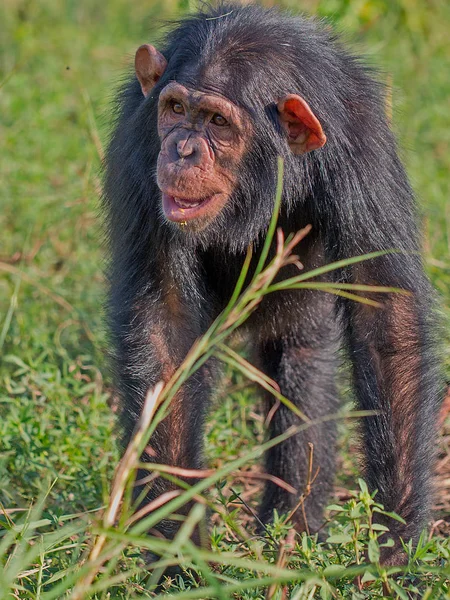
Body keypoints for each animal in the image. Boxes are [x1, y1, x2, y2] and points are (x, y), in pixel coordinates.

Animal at [103, 2, 442, 564]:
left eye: (218, 122)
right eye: (175, 108)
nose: (183, 148)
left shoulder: (363, 147)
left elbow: (385, 314)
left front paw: (395, 544)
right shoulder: (139, 147)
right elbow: (165, 327)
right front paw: (175, 545)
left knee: (300, 366)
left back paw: (292, 527)